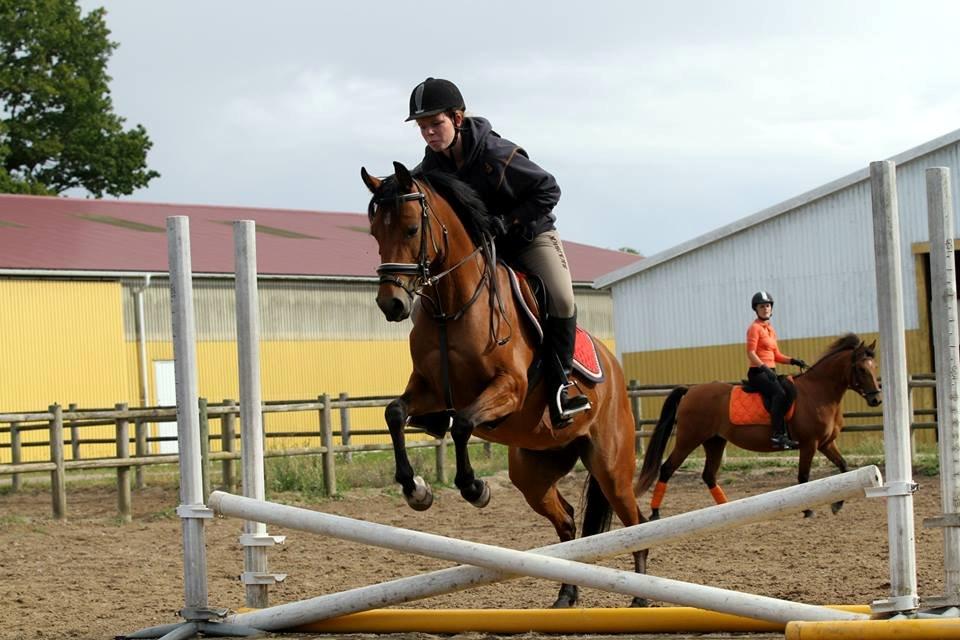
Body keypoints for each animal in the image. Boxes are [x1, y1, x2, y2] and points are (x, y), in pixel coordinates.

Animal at [364, 162, 648, 608]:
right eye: (375, 232)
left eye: (411, 229)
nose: (391, 304)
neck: (451, 308)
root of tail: (615, 370)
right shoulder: (429, 392)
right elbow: (395, 413)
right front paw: (416, 490)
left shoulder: (508, 389)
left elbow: (463, 425)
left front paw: (474, 488)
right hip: (534, 471)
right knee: (568, 522)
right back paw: (566, 595)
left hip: (610, 466)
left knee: (636, 519)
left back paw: (640, 598)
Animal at [632, 336, 880, 520]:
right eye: (860, 368)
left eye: (874, 366)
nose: (876, 399)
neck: (818, 392)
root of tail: (691, 390)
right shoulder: (809, 444)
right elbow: (803, 477)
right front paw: (808, 510)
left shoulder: (826, 443)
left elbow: (844, 468)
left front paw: (837, 504)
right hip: (689, 439)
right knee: (667, 469)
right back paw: (655, 513)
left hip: (715, 441)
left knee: (708, 475)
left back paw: (727, 509)